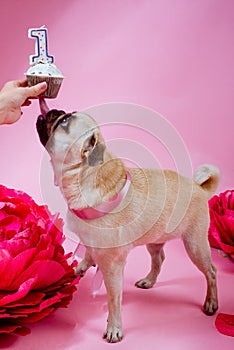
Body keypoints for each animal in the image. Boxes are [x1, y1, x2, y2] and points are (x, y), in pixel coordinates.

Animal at [36, 98, 219, 342]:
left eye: (63, 122)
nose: (56, 110)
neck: (84, 176)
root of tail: (199, 188)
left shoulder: (112, 267)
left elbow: (114, 300)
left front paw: (114, 327)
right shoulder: (89, 240)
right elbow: (87, 252)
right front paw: (80, 267)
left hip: (195, 245)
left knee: (211, 272)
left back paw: (211, 302)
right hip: (155, 240)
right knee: (158, 259)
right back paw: (149, 280)